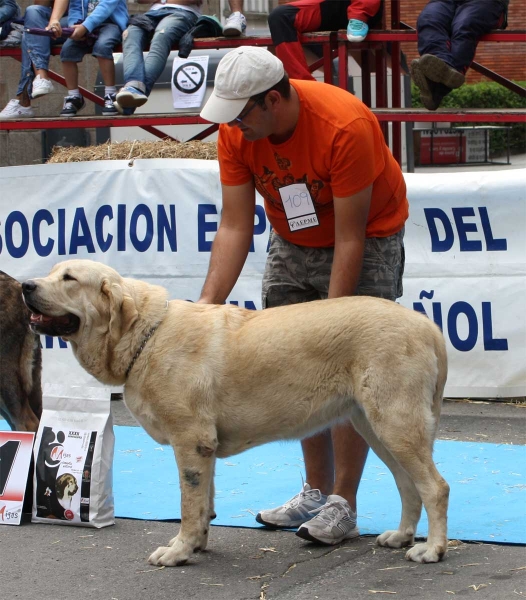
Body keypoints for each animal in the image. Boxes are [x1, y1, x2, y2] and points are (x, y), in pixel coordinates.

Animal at [22, 258, 452, 568]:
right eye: (52, 272)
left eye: (69, 278)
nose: (26, 285)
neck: (145, 335)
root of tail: (426, 325)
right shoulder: (204, 447)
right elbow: (203, 504)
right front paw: (196, 545)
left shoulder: (191, 441)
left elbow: (188, 506)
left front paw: (178, 552)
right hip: (375, 427)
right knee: (408, 485)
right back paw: (401, 536)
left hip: (395, 423)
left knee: (435, 487)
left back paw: (432, 550)